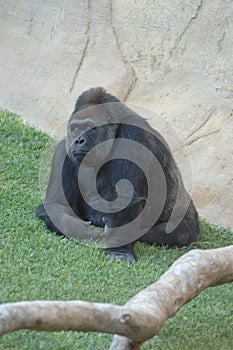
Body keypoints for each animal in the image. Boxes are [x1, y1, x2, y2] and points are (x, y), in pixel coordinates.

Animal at [36, 87, 198, 262]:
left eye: (90, 127)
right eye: (74, 129)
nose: (78, 140)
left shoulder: (133, 136)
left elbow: (126, 201)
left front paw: (119, 251)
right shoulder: (63, 149)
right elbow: (56, 205)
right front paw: (85, 231)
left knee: (173, 233)